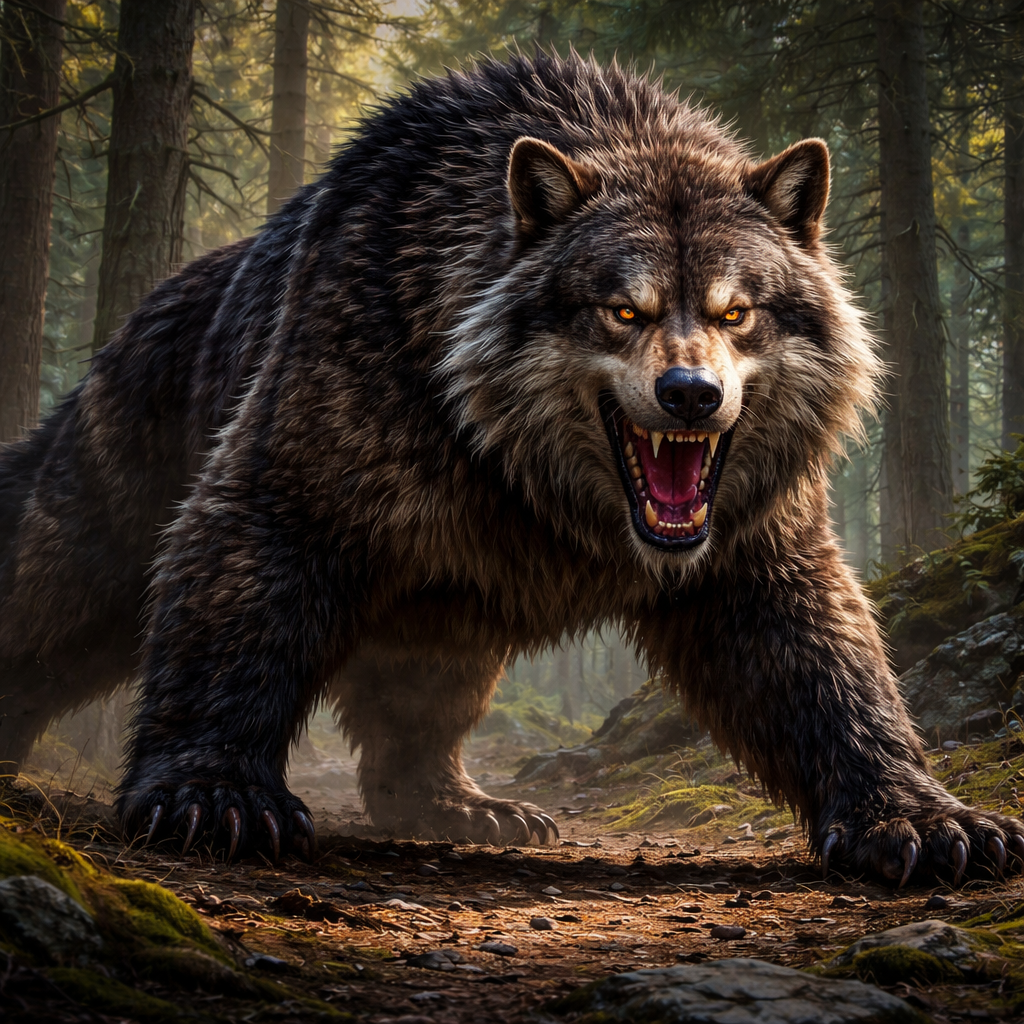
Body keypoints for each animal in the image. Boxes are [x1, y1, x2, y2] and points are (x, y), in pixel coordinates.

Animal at [1, 52, 1020, 883]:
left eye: (737, 310)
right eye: (622, 309)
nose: (691, 394)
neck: (519, 476)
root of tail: (144, 308)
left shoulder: (753, 534)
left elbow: (825, 660)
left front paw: (921, 818)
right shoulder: (320, 439)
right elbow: (240, 579)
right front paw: (215, 795)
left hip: (449, 597)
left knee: (422, 698)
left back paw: (467, 803)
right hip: (122, 465)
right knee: (52, 590)